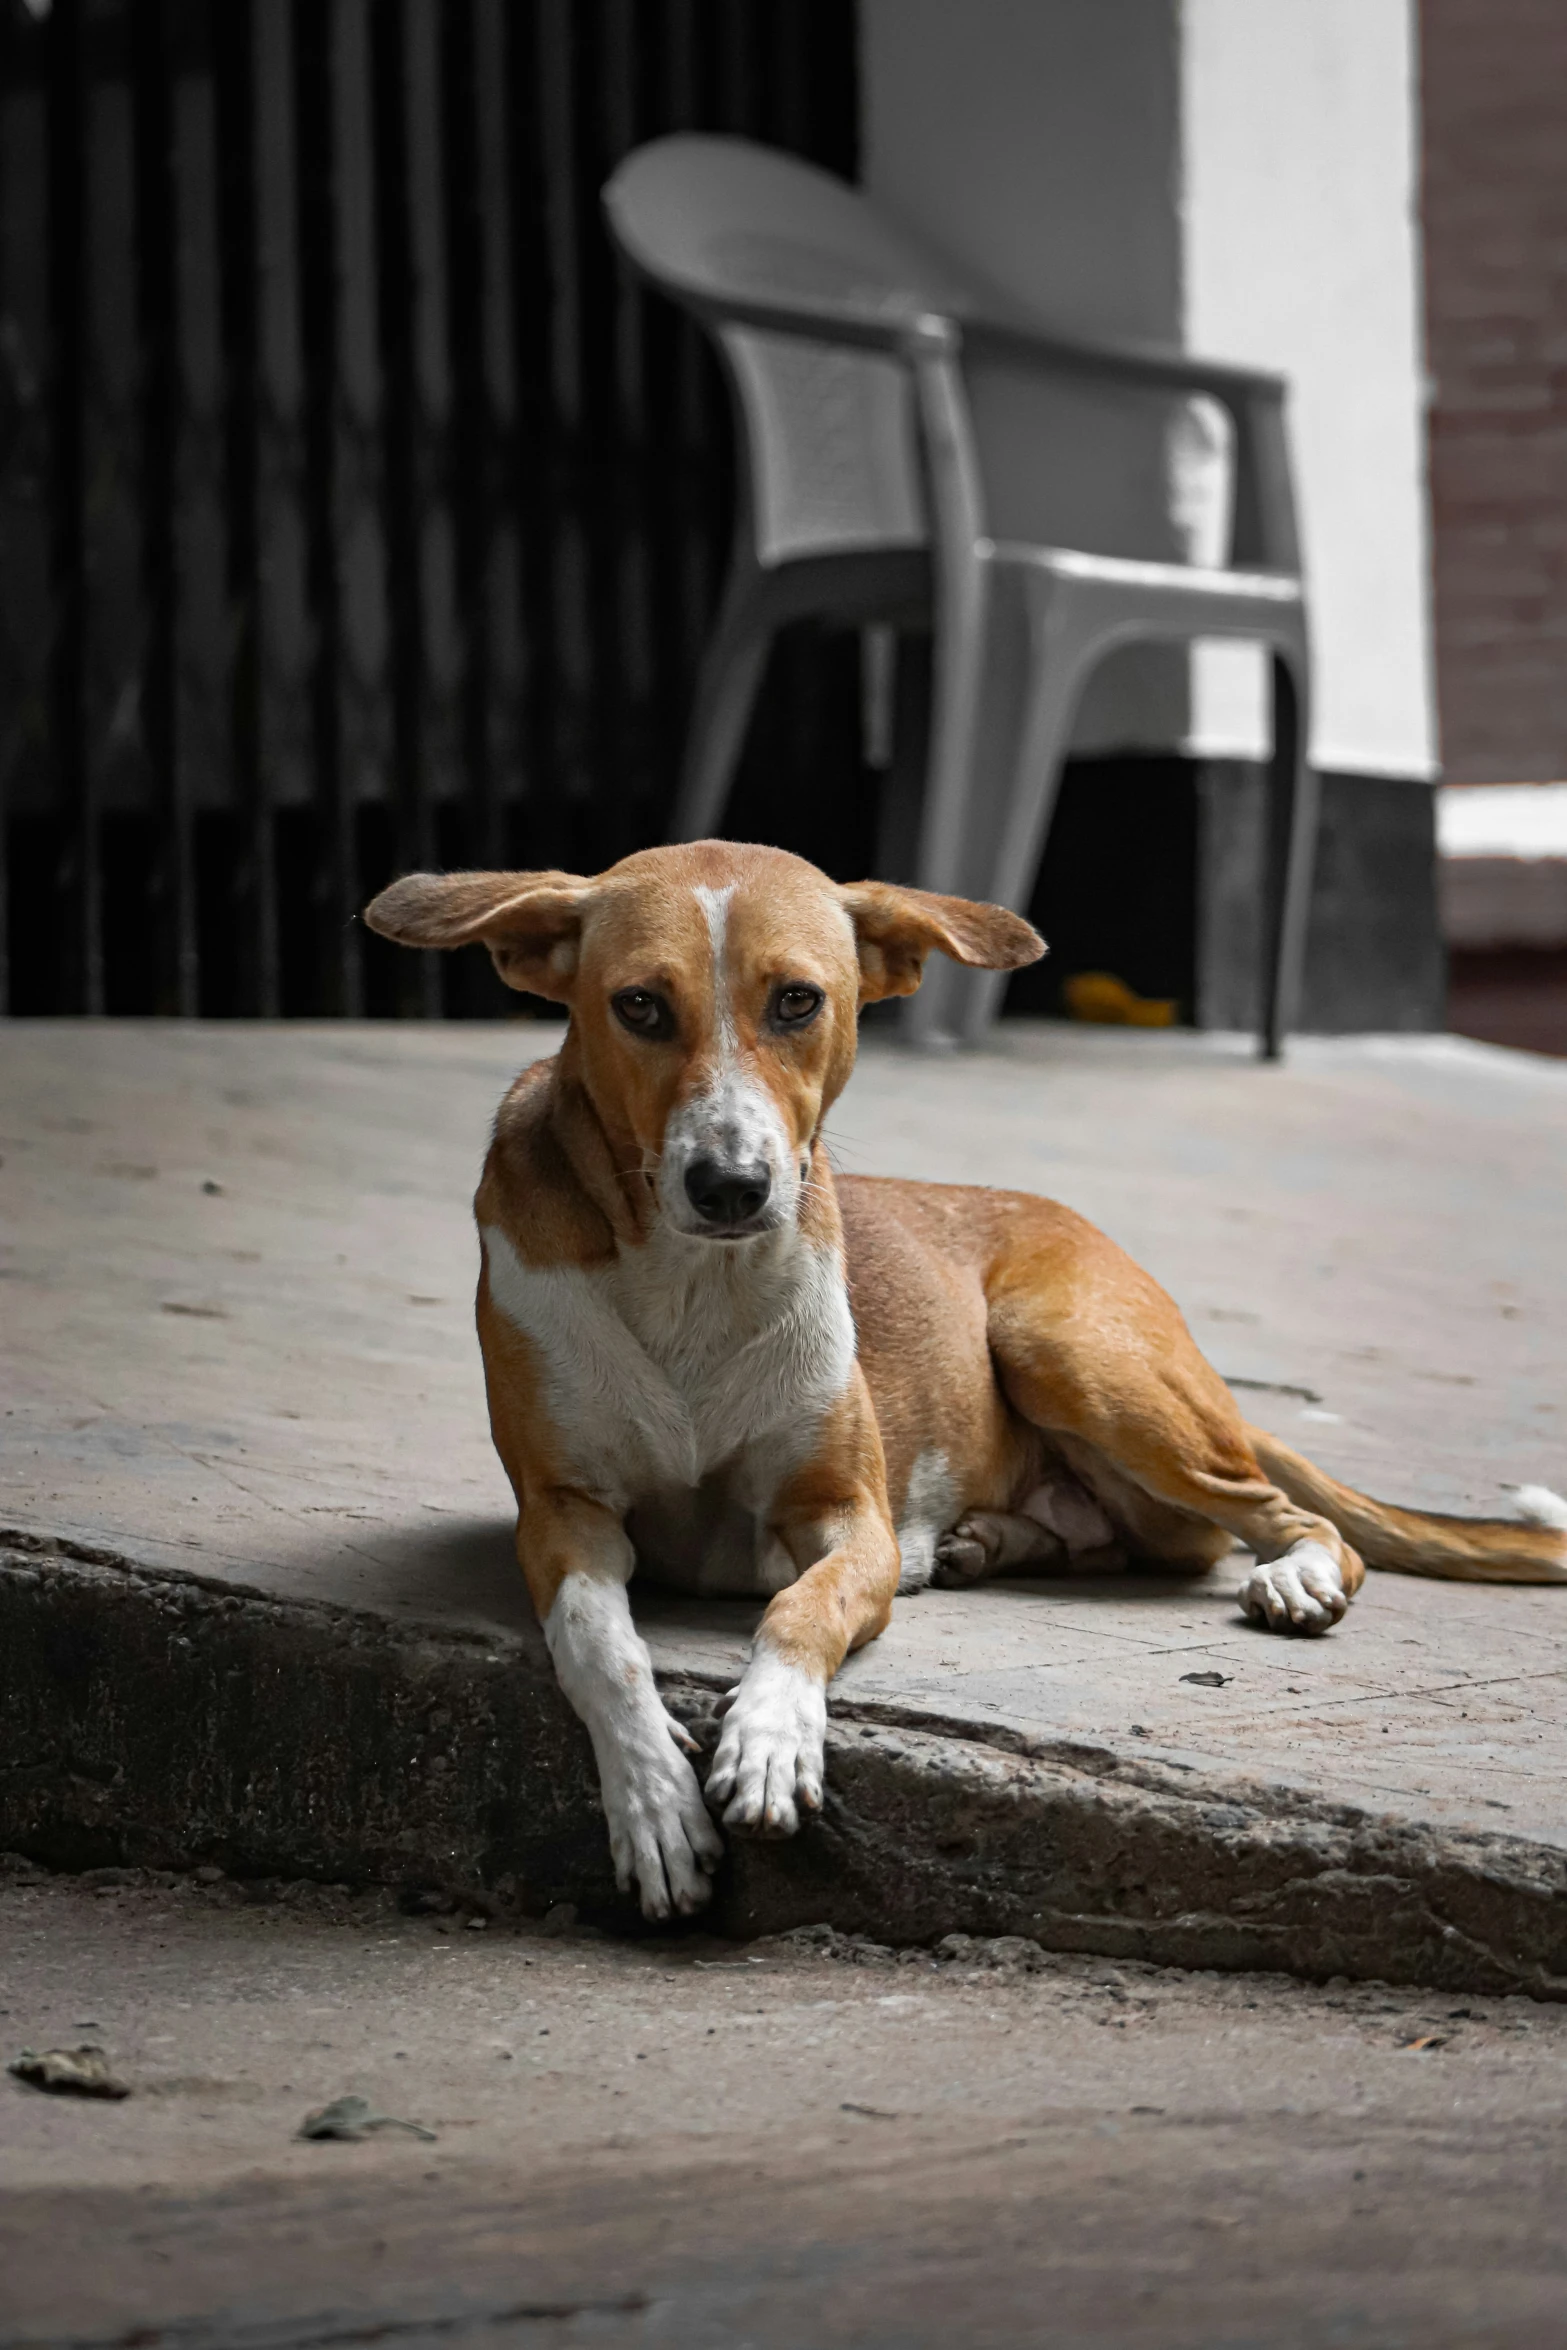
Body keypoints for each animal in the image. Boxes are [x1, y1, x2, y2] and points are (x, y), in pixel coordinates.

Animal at [364, 836, 1567, 1917]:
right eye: (640, 1007)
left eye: (797, 1001)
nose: (731, 1185)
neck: (691, 1285)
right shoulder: (562, 1515)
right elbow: (600, 1646)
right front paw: (654, 1801)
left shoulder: (851, 1518)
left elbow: (797, 1611)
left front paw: (768, 1738)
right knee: (1158, 1540)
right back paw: (1005, 1540)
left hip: (1068, 1351)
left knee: (1270, 1520)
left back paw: (1294, 1575)